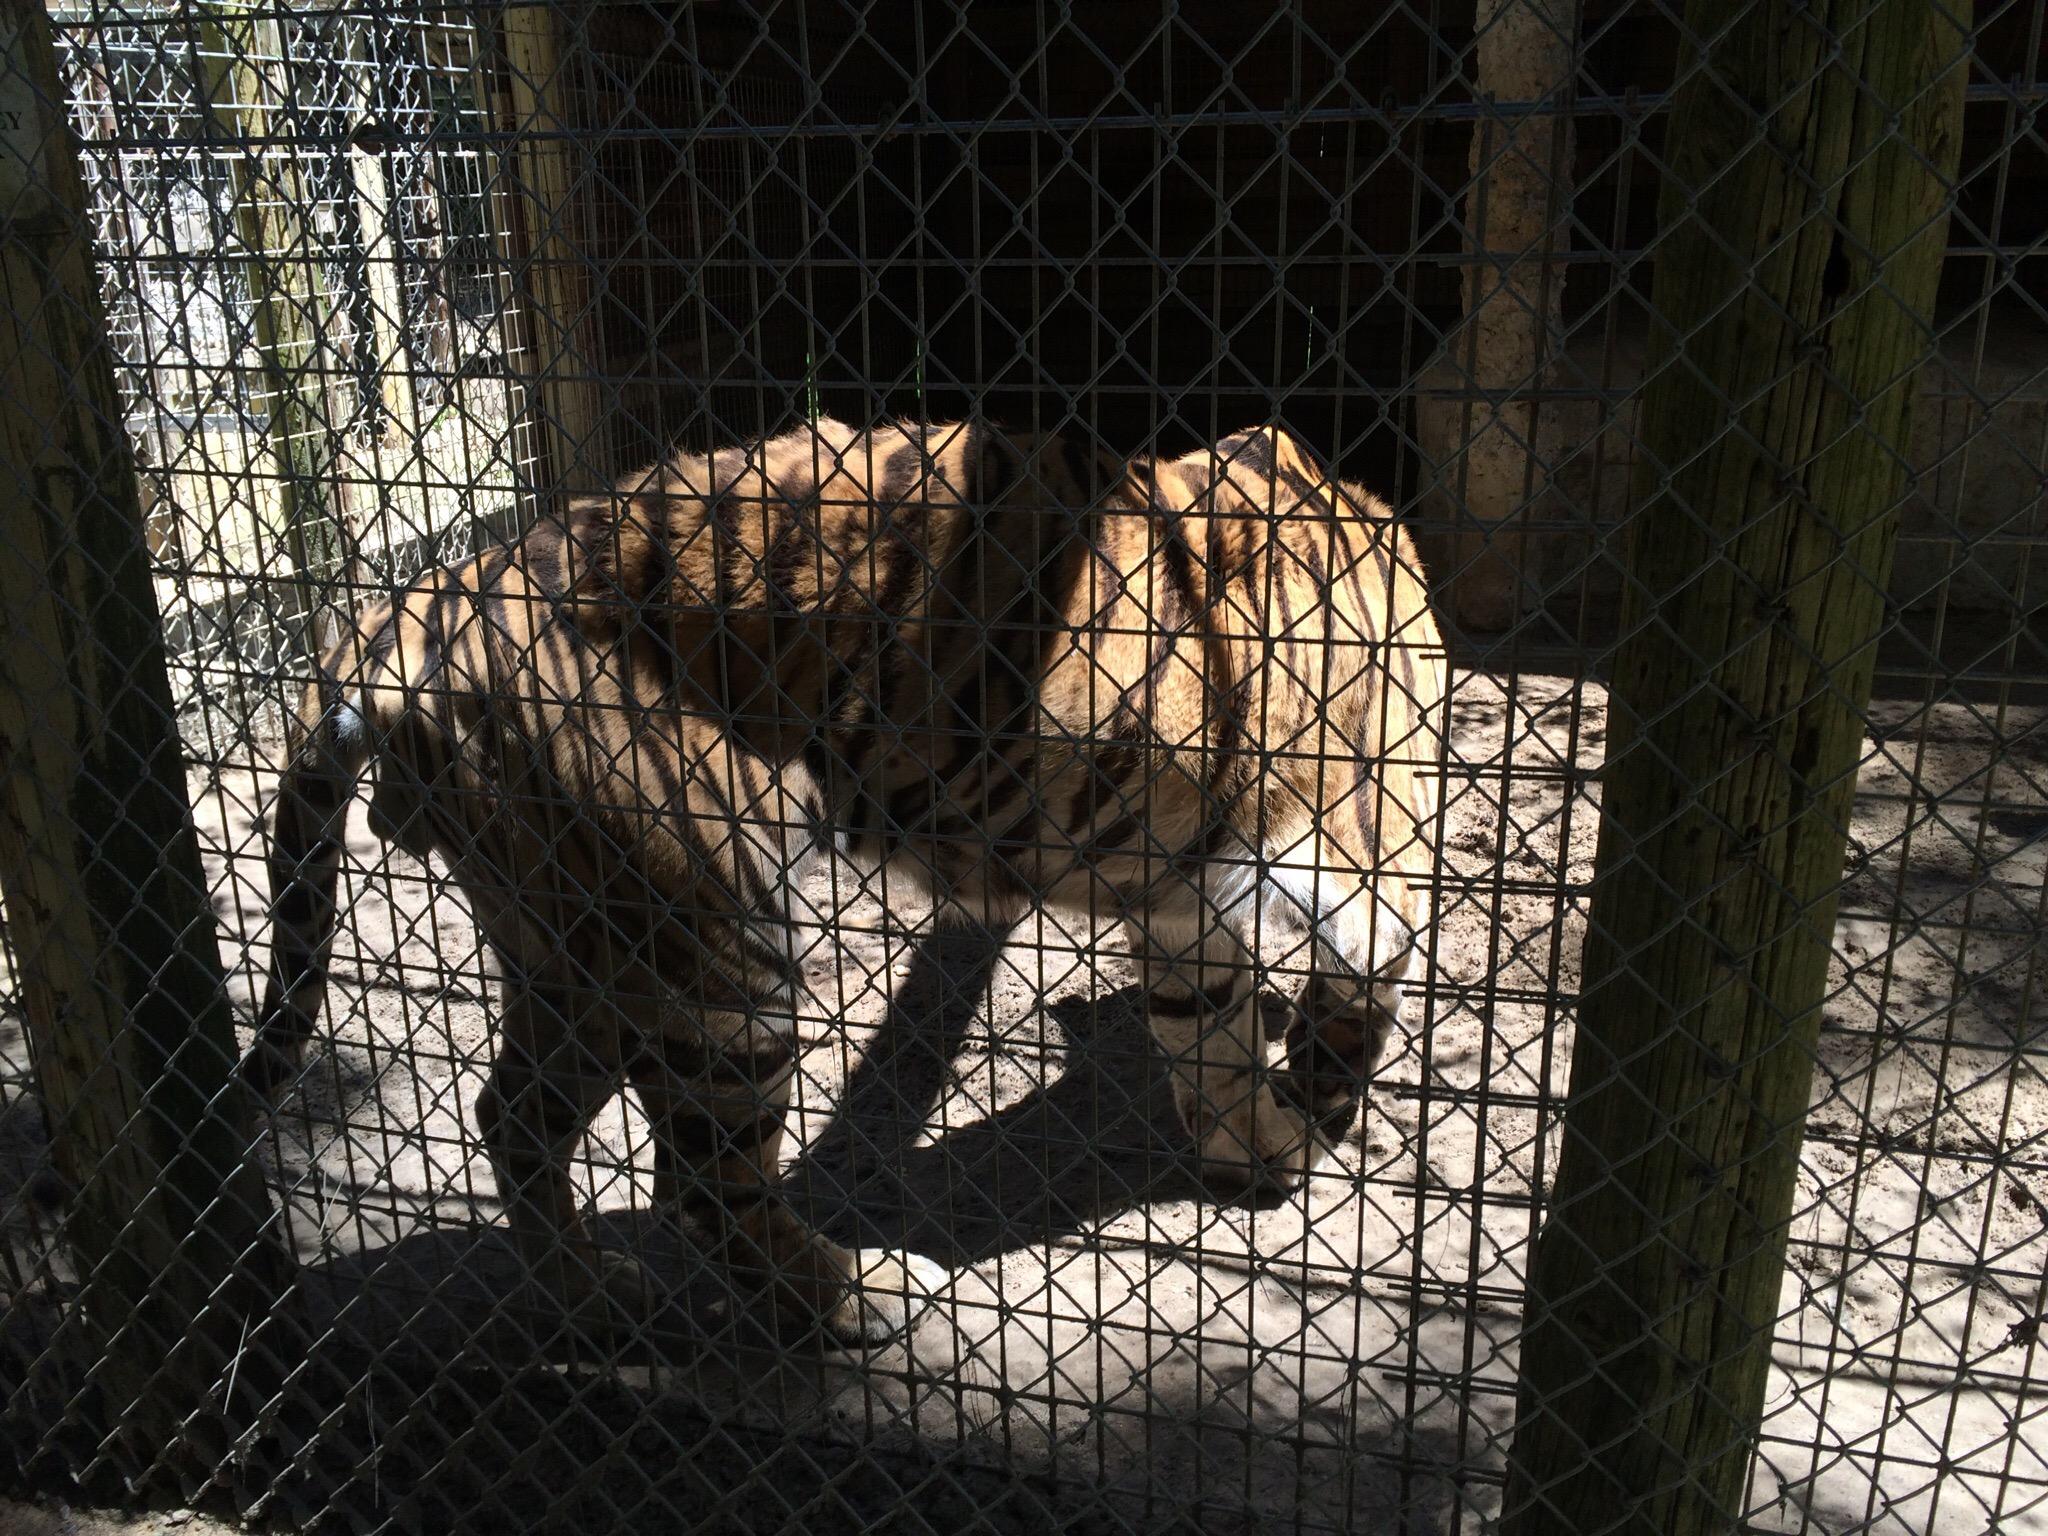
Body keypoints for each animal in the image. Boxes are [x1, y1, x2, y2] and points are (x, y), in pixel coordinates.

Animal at [247, 423, 1449, 1343]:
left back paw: (597, 1300)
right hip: (721, 945)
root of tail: (416, 602)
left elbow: (1208, 1031)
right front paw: (1314, 1122)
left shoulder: (1184, 898)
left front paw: (1255, 1147)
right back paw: (862, 1296)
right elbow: (1349, 999)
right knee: (702, 1186)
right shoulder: (1358, 848)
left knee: (515, 1118)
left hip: (575, 948)